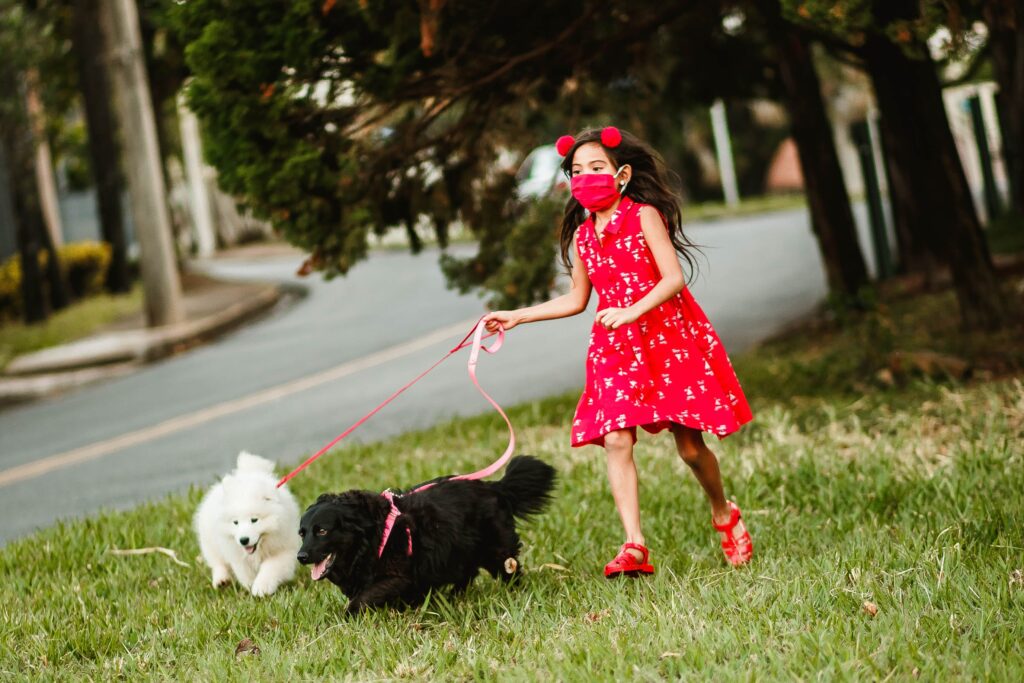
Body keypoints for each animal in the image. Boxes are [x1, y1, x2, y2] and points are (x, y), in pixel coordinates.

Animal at [193, 454, 301, 598]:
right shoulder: (235, 553)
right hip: (210, 542)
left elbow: (271, 567)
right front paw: (250, 585)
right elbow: (244, 571)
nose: (243, 540)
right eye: (235, 522)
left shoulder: (284, 550)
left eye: (254, 520)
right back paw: (221, 580)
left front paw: (261, 587)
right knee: (217, 562)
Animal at [299, 456, 552, 610]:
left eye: (322, 531)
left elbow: (362, 599)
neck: (373, 535)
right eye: (302, 533)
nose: (301, 556)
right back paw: (454, 596)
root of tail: (494, 487)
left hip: (495, 550)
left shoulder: (397, 577)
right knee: (468, 572)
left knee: (509, 570)